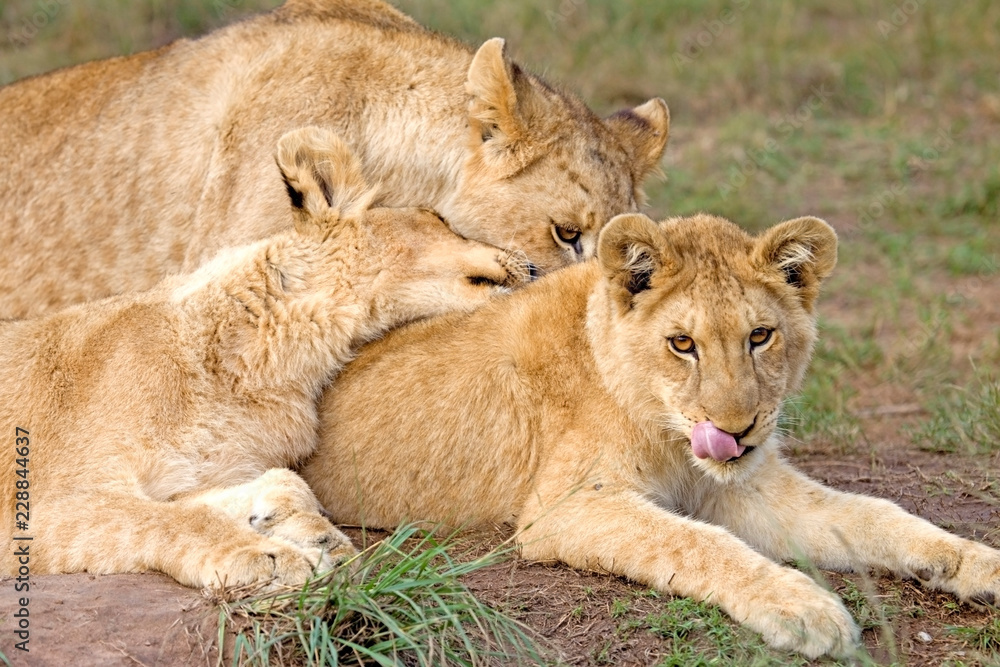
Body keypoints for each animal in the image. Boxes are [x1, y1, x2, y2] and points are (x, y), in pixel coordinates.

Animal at [0, 126, 529, 589]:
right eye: (438, 219)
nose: (530, 263)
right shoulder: (48, 502)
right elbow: (173, 520)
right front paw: (268, 554)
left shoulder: (201, 473)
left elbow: (275, 484)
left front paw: (309, 533)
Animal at [301, 212, 1000, 658]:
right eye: (682, 344)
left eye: (760, 336)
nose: (736, 431)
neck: (670, 439)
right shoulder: (567, 506)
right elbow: (696, 542)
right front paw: (803, 607)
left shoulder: (746, 488)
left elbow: (872, 515)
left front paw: (976, 562)